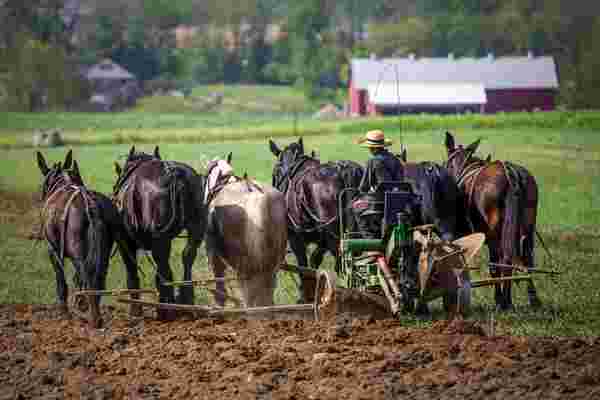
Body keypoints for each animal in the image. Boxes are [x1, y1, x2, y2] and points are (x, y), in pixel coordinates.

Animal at [112, 146, 209, 318]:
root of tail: (174, 174)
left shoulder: (124, 242)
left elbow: (132, 274)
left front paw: (135, 309)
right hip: (197, 227)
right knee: (187, 256)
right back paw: (186, 300)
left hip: (160, 238)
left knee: (163, 268)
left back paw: (166, 307)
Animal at [204, 152, 288, 306]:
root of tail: (259, 199)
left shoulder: (213, 253)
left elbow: (219, 286)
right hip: (271, 266)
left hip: (245, 269)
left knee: (249, 299)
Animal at [268, 136, 344, 302]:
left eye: (275, 170)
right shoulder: (321, 240)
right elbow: (314, 261)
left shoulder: (295, 237)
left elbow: (303, 265)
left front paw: (305, 295)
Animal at [442, 131, 540, 310]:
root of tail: (511, 174)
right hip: (527, 228)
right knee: (526, 258)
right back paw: (533, 298)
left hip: (494, 233)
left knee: (501, 263)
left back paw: (504, 300)